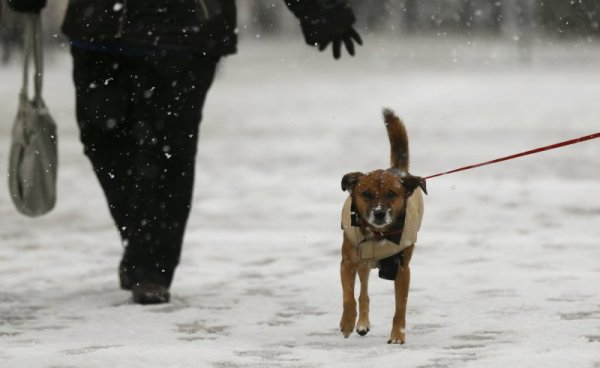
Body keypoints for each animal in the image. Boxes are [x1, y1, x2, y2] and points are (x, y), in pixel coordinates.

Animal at [338, 108, 426, 344]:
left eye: (392, 194)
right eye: (366, 194)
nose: (379, 213)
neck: (378, 234)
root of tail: (397, 169)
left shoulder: (403, 269)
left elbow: (400, 307)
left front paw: (397, 335)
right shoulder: (348, 262)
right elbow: (349, 296)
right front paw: (347, 322)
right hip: (363, 263)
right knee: (363, 292)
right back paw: (361, 323)